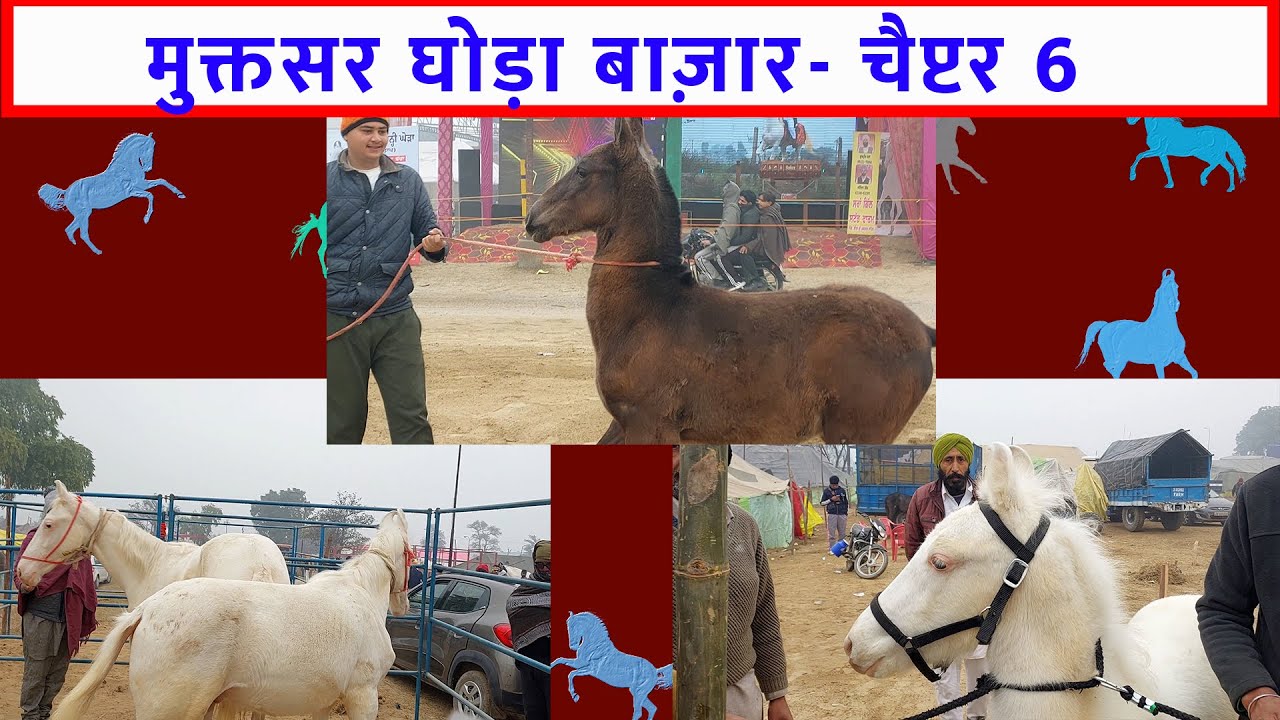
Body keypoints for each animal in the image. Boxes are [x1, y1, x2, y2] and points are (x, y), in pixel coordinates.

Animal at [38, 132, 185, 255]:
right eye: (148, 149)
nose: (148, 168)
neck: (126, 167)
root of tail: (67, 192)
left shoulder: (142, 184)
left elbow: (161, 181)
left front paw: (180, 194)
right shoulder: (132, 191)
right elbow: (150, 195)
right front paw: (146, 219)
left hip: (81, 215)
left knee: (69, 230)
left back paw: (76, 245)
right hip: (84, 214)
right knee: (82, 233)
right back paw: (97, 251)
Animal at [50, 509, 414, 720]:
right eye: (412, 554)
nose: (405, 604)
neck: (362, 592)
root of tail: (148, 609)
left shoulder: (324, 704)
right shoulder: (362, 696)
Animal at [525, 117, 936, 444]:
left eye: (582, 170)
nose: (532, 218)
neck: (649, 313)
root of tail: (921, 328)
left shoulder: (649, 425)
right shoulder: (629, 427)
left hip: (859, 431)